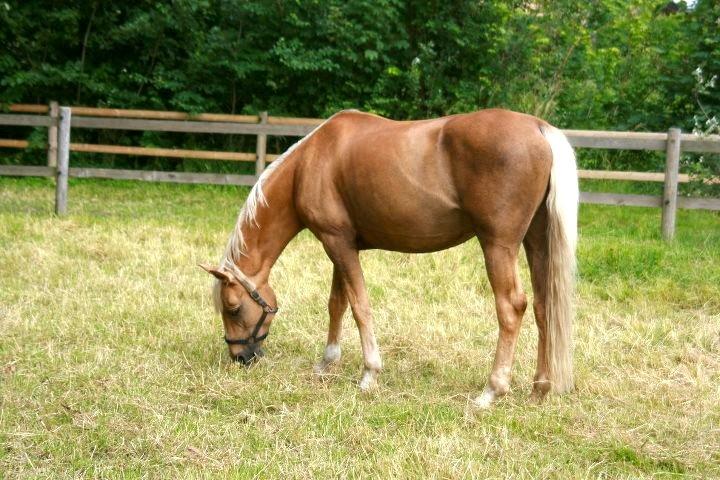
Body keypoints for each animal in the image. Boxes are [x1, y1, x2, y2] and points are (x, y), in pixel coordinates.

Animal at [198, 107, 580, 406]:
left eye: (233, 308)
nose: (240, 358)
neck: (308, 164)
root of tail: (538, 128)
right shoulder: (341, 245)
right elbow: (337, 303)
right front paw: (327, 363)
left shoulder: (337, 244)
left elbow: (359, 306)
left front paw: (369, 374)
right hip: (536, 241)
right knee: (545, 306)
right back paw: (539, 389)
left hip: (498, 246)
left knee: (511, 307)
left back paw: (491, 391)